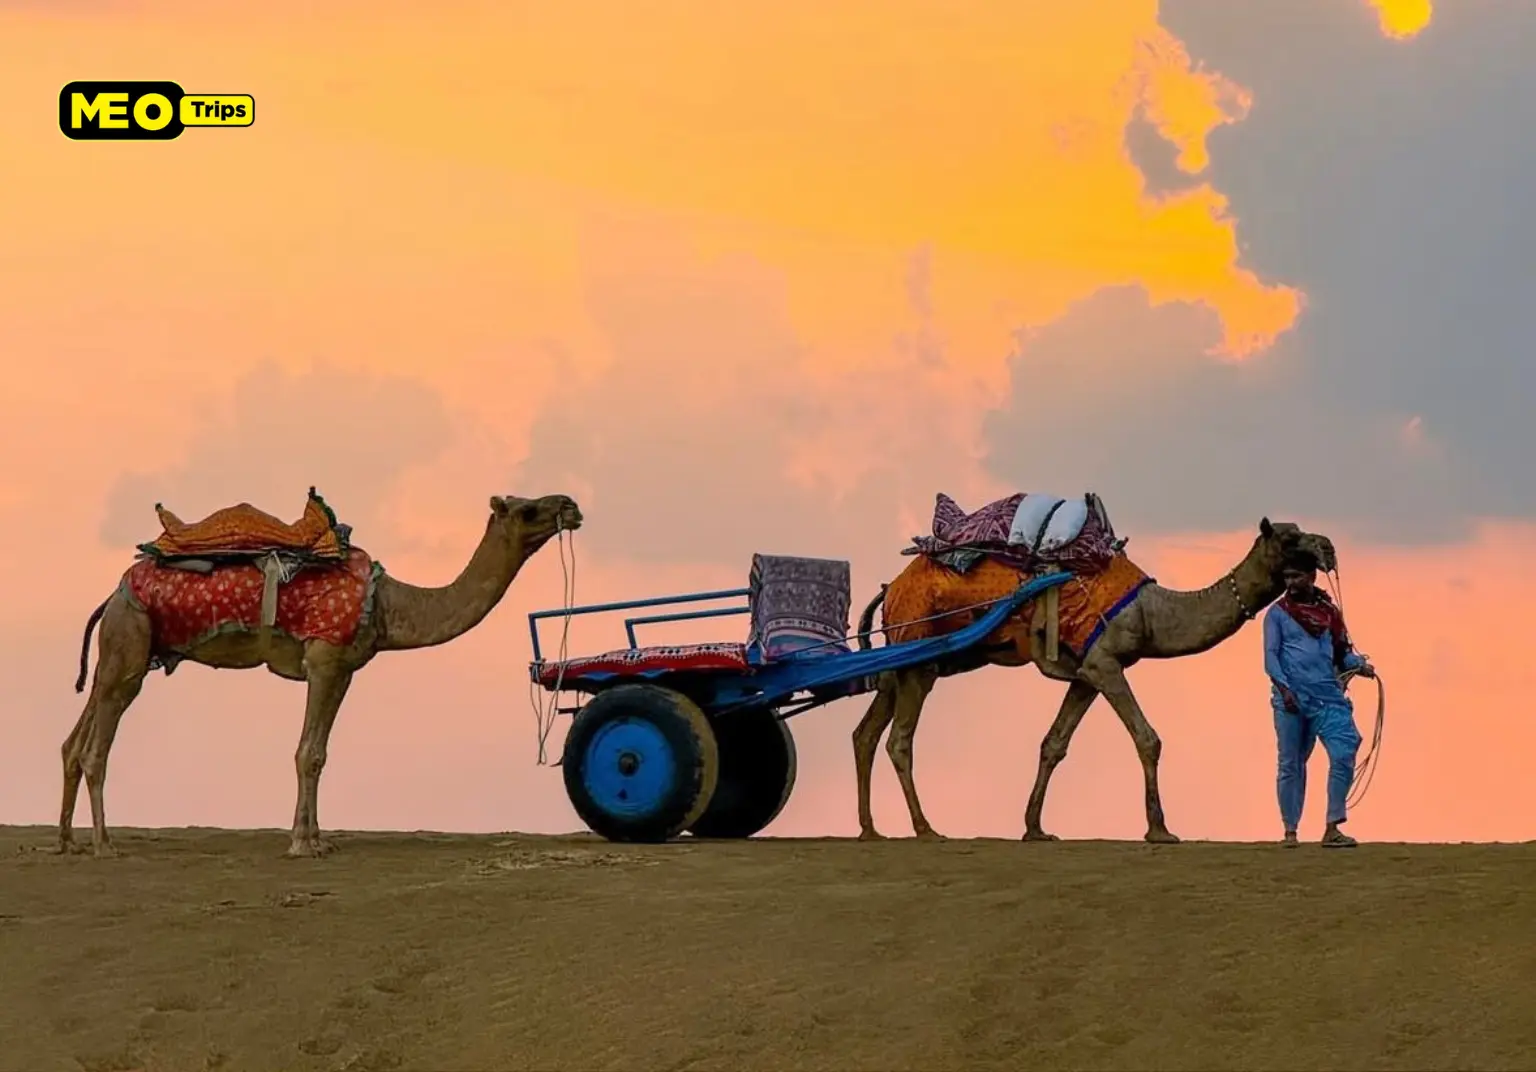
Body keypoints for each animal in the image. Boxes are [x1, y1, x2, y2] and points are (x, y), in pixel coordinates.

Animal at [59, 493, 582, 859]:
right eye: (528, 509)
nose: (571, 506)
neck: (389, 605)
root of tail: (114, 594)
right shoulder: (327, 659)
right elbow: (307, 753)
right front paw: (302, 844)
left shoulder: (344, 668)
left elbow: (320, 753)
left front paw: (319, 839)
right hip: (129, 643)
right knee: (95, 748)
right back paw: (104, 845)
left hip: (120, 649)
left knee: (74, 739)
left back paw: (67, 841)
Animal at [851, 518, 1335, 843]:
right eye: (1290, 538)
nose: (1329, 547)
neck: (1150, 612)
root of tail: (891, 588)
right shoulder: (1106, 662)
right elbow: (1147, 738)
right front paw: (1159, 829)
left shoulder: (1085, 672)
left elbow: (1054, 744)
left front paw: (1035, 828)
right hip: (919, 652)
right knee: (899, 739)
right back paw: (925, 828)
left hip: (900, 657)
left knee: (865, 733)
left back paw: (870, 829)